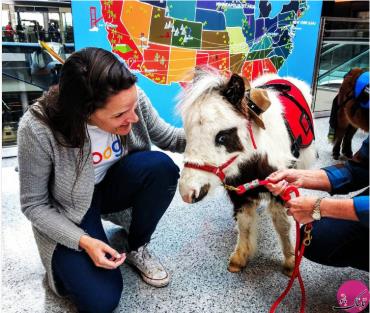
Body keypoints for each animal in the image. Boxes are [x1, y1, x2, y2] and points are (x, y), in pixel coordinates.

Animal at [177, 71, 316, 276]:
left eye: (222, 137)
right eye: (188, 134)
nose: (187, 192)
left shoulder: (279, 190)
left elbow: (282, 224)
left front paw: (291, 261)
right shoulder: (238, 193)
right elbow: (244, 223)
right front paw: (239, 258)